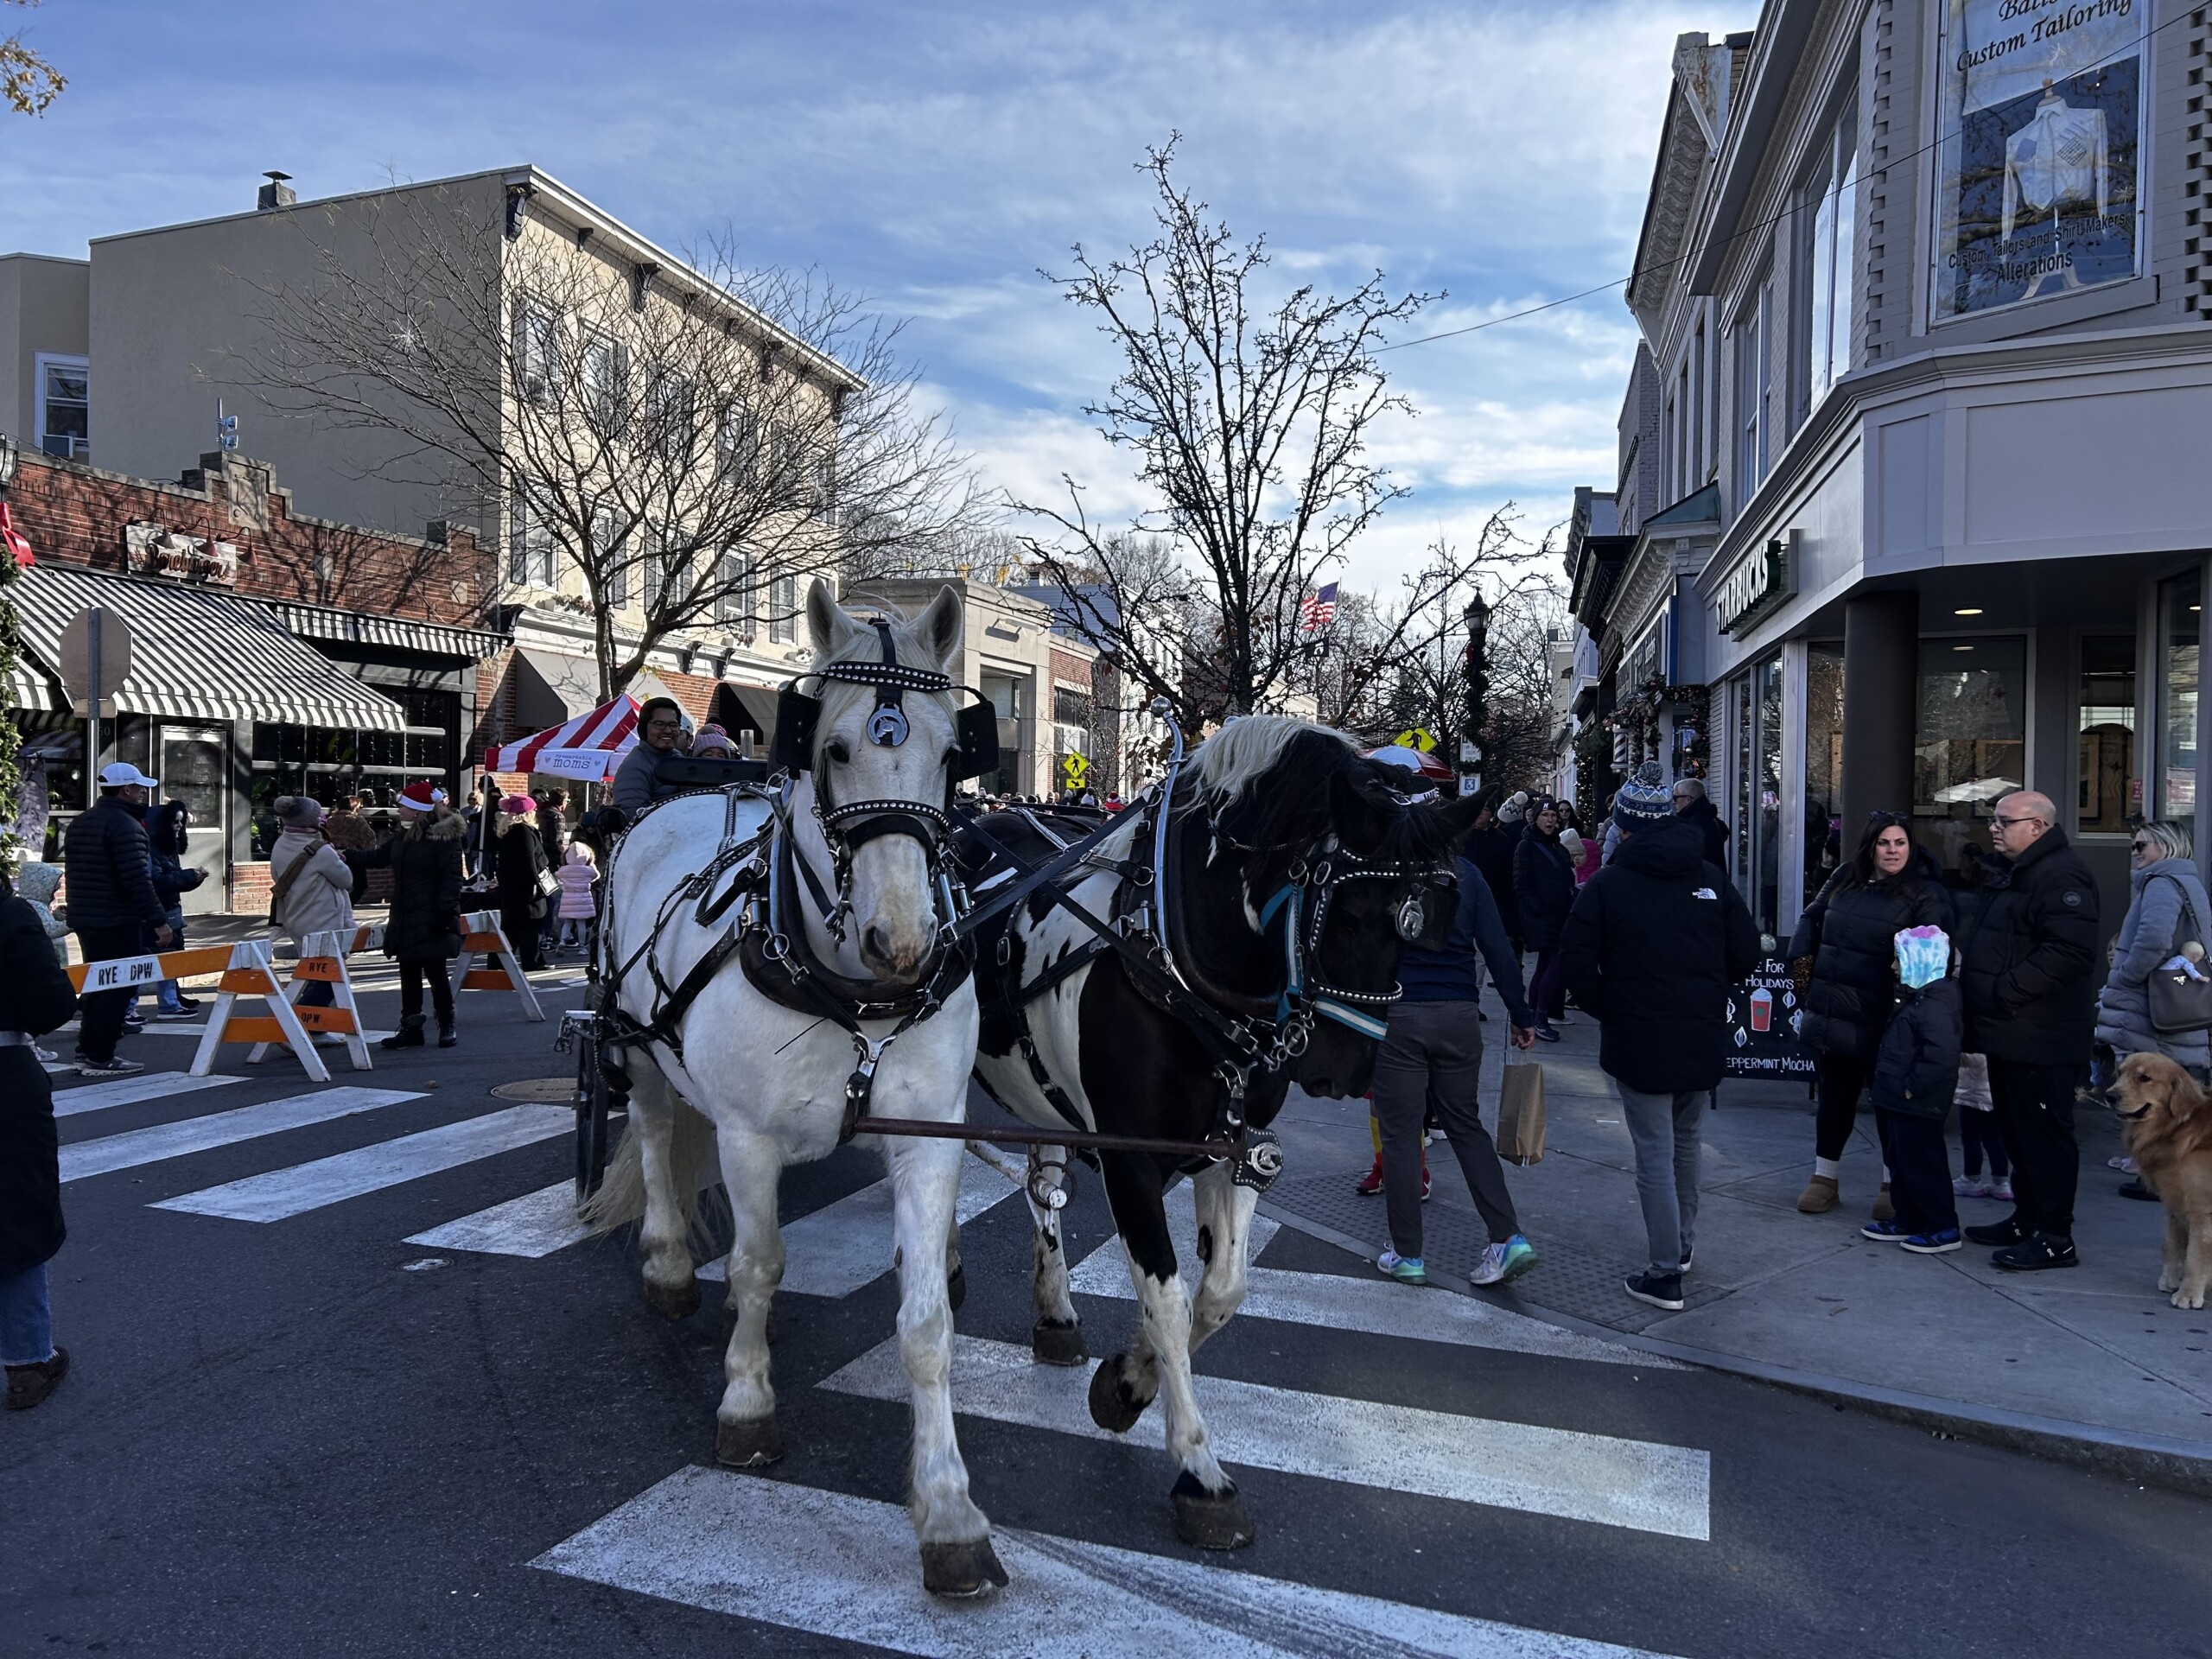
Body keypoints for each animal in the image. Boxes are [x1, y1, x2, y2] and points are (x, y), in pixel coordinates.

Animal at [583, 579, 1008, 1601]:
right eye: (836, 748)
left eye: (952, 754)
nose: (905, 941)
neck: (850, 991)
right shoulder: (747, 1136)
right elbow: (757, 1266)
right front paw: (746, 1404)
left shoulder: (927, 1133)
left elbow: (926, 1322)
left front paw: (948, 1512)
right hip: (640, 1052)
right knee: (653, 1136)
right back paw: (666, 1264)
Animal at [955, 721, 1459, 1557]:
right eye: (1350, 915)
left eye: (1422, 929)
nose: (1347, 1069)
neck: (1171, 963)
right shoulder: (1131, 1164)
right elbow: (1166, 1301)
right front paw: (1199, 1469)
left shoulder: (1237, 1148)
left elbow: (1220, 1294)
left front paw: (1127, 1382)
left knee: (1043, 1183)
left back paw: (1056, 1313)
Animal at [2106, 1052, 2212, 1309]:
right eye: (2120, 1072)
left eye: (2144, 1078)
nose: (2109, 1096)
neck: (2178, 1129)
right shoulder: (2174, 1201)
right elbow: (2171, 1243)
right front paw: (2171, 1279)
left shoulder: (2202, 1209)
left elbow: (2196, 1255)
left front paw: (2188, 1294)